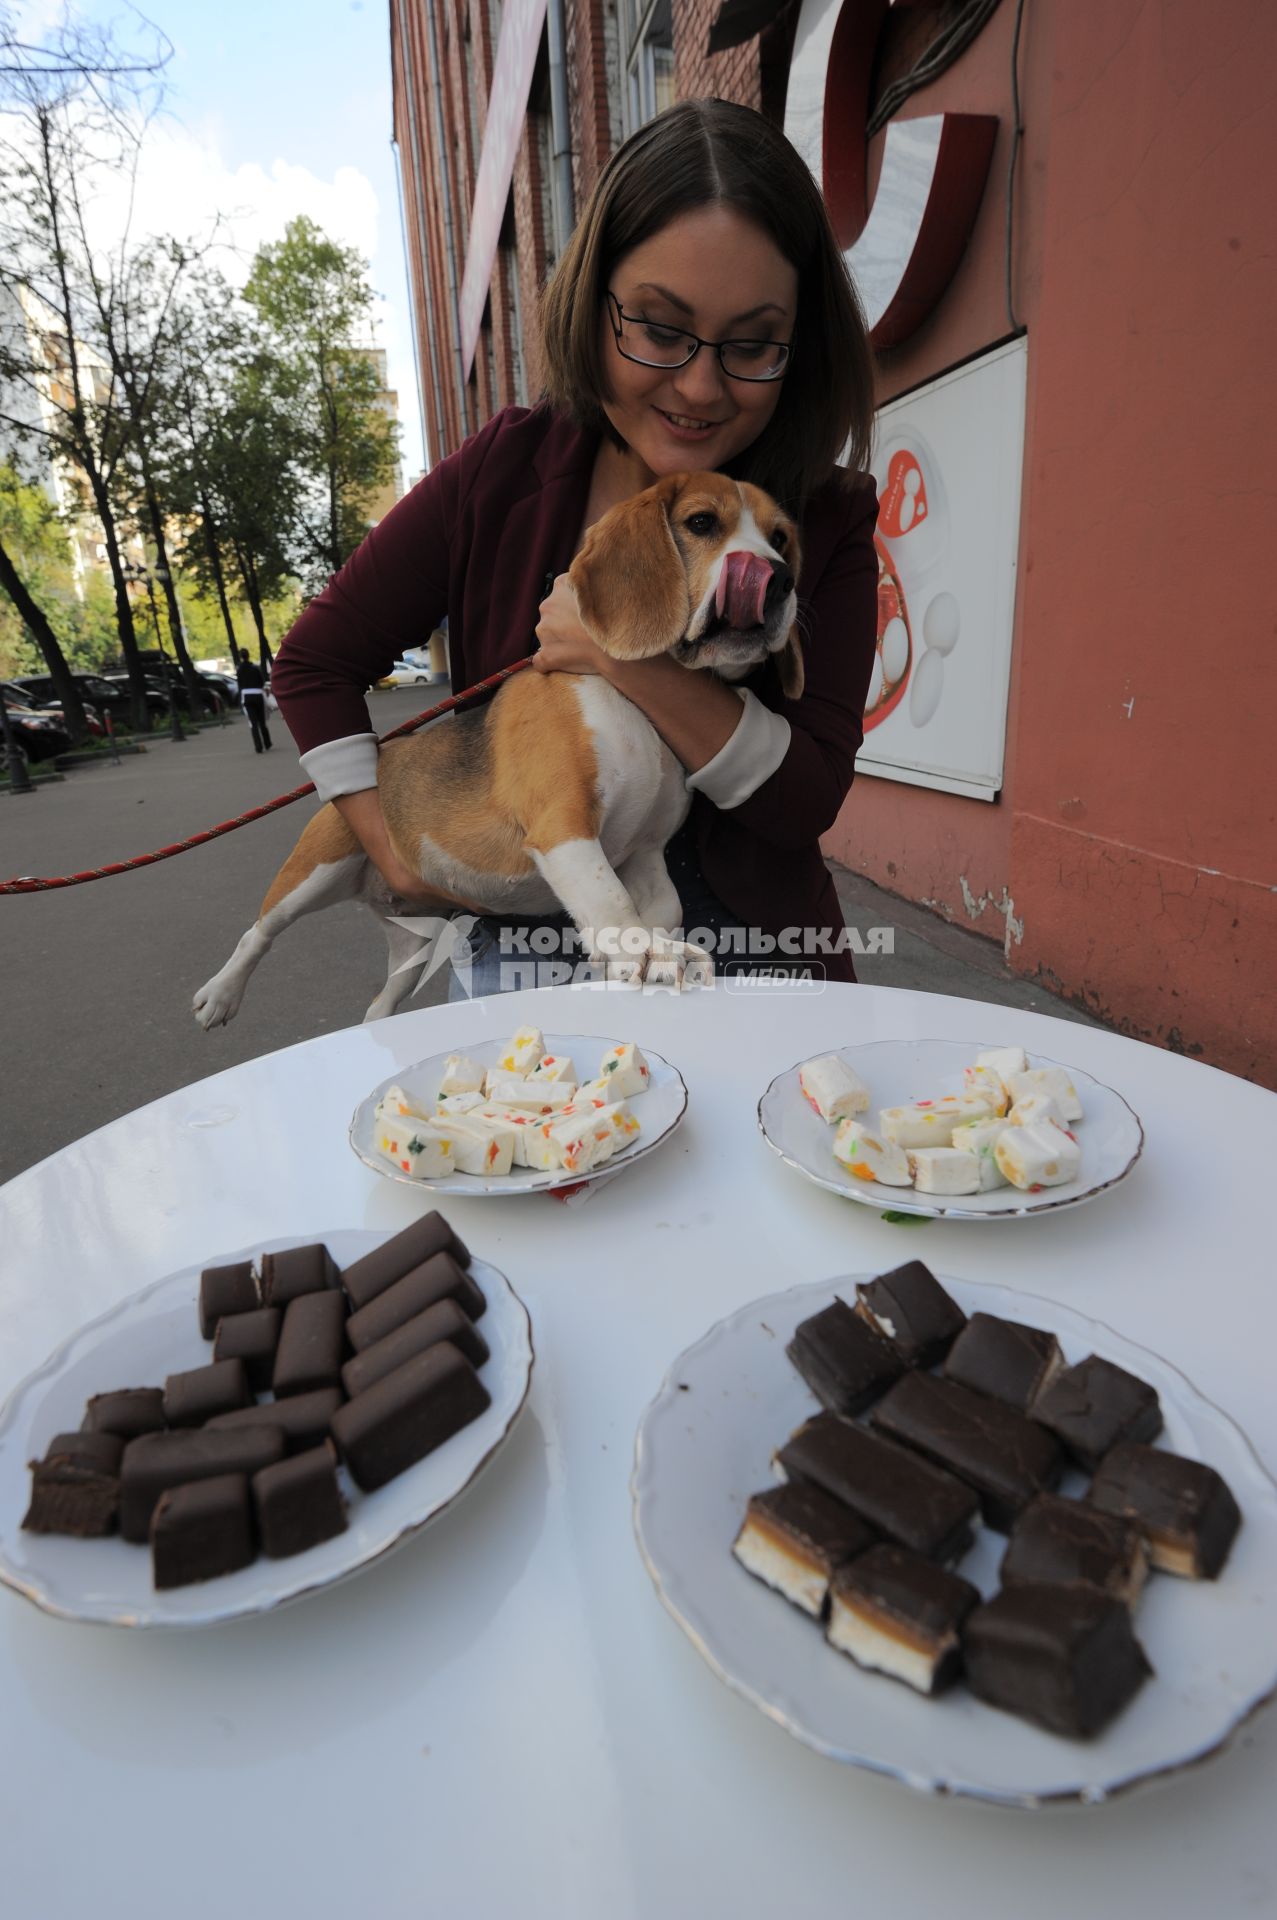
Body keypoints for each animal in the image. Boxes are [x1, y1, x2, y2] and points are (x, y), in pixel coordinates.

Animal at [192, 470, 798, 1029]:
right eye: (702, 522)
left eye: (781, 537)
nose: (782, 580)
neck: (636, 704)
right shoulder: (563, 826)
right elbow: (610, 899)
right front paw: (645, 953)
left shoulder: (646, 851)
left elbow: (662, 905)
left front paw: (635, 949)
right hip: (315, 869)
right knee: (258, 932)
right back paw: (219, 995)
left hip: (416, 942)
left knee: (383, 997)